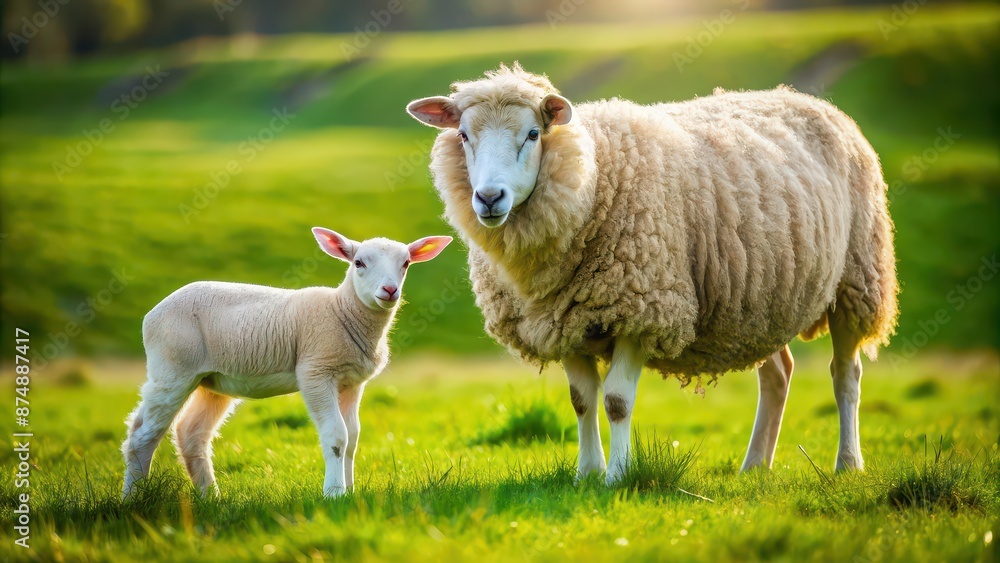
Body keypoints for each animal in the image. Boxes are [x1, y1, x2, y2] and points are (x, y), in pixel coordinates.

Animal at [121, 227, 452, 498]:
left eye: (405, 263)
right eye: (359, 263)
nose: (389, 290)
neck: (342, 311)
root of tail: (153, 313)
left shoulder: (352, 382)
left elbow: (352, 438)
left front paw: (349, 491)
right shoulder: (316, 372)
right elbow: (336, 436)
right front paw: (334, 493)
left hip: (211, 381)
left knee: (191, 434)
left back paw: (211, 498)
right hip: (173, 369)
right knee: (142, 435)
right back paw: (133, 498)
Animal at [406, 63, 898, 484]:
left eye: (531, 133)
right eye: (463, 135)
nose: (489, 198)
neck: (592, 178)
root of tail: (805, 99)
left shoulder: (641, 310)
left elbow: (617, 402)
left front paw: (618, 477)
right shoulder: (564, 320)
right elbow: (582, 401)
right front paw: (586, 474)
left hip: (857, 280)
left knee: (845, 373)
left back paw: (847, 463)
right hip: (764, 300)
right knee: (778, 374)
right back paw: (755, 466)